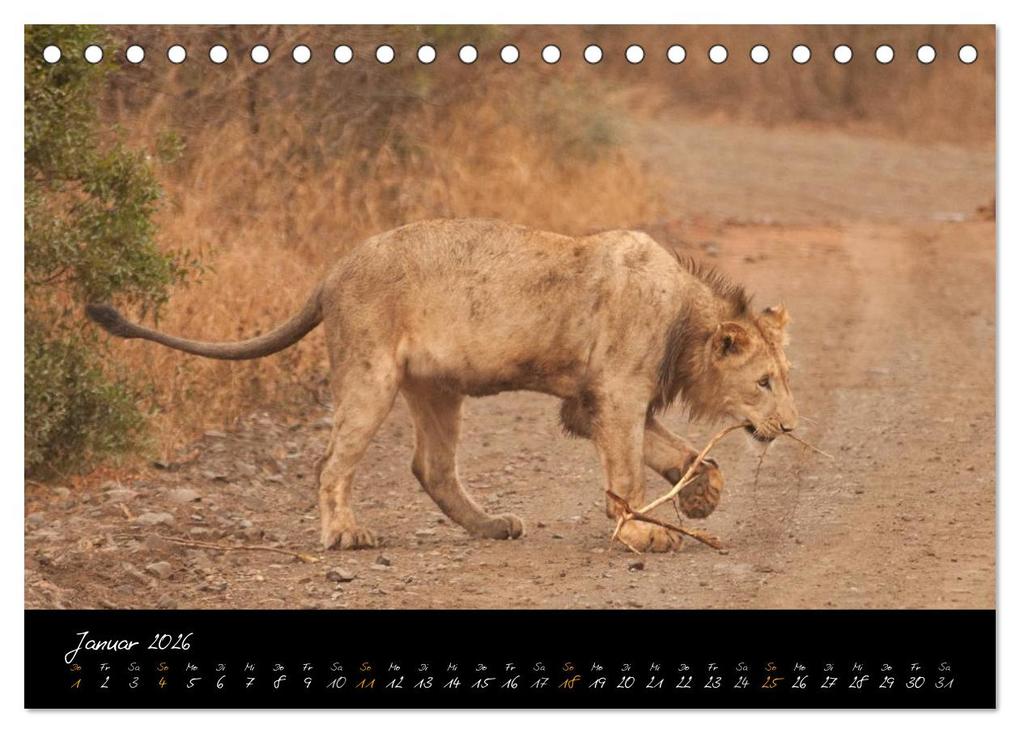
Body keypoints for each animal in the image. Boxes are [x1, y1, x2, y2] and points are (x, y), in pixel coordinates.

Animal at [87, 218, 797, 552]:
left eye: (784, 381)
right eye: (764, 383)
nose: (790, 427)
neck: (685, 318)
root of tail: (332, 271)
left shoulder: (588, 401)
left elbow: (686, 456)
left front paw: (700, 499)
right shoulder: (615, 396)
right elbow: (628, 472)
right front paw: (641, 533)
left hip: (436, 388)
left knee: (432, 466)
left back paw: (491, 526)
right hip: (370, 373)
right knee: (330, 462)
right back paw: (345, 534)